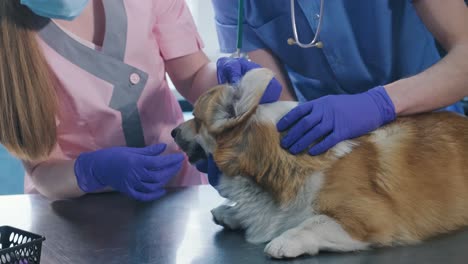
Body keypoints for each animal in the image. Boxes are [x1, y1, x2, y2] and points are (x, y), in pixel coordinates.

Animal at [171, 68, 468, 260]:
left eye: (196, 119)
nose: (173, 132)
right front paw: (233, 212)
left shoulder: (371, 218)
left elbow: (313, 222)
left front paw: (285, 239)